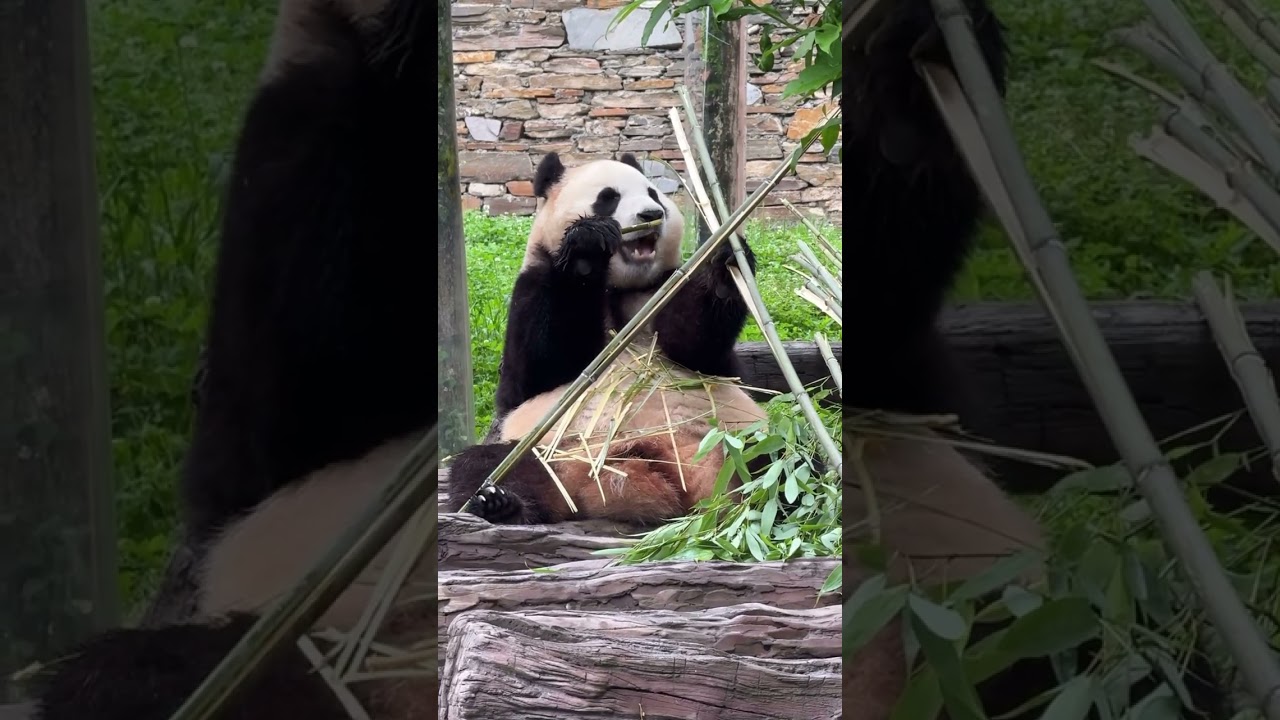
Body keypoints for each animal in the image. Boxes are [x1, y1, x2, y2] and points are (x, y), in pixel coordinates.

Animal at [442, 151, 774, 526]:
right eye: (608, 197)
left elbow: (696, 349)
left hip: (735, 434)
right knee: (490, 465)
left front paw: (724, 265)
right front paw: (587, 249)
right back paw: (501, 503)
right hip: (556, 447)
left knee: (781, 453)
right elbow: (539, 367)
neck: (621, 284)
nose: (651, 214)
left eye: (653, 193)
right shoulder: (534, 285)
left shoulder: (662, 286)